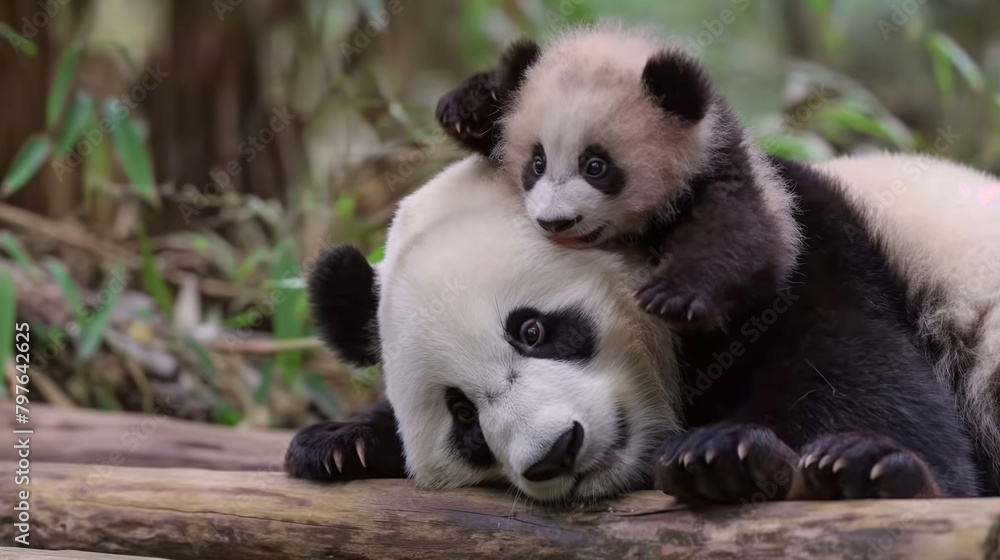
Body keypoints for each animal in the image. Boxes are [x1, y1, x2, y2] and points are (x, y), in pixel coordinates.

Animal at [288, 152, 1000, 504]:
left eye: (532, 331)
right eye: (461, 414)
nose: (556, 453)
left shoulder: (798, 255)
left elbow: (860, 380)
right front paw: (341, 444)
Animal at [438, 27, 796, 332]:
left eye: (596, 167)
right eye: (537, 164)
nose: (555, 222)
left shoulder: (718, 168)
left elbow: (737, 233)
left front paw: (673, 296)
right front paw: (466, 108)